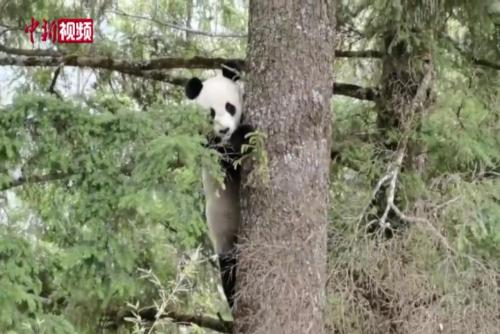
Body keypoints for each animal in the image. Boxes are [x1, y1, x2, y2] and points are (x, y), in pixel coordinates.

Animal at [185, 62, 252, 308]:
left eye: (229, 106)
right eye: (211, 113)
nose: (224, 130)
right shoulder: (207, 147)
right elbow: (227, 164)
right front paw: (244, 136)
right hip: (223, 234)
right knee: (228, 269)